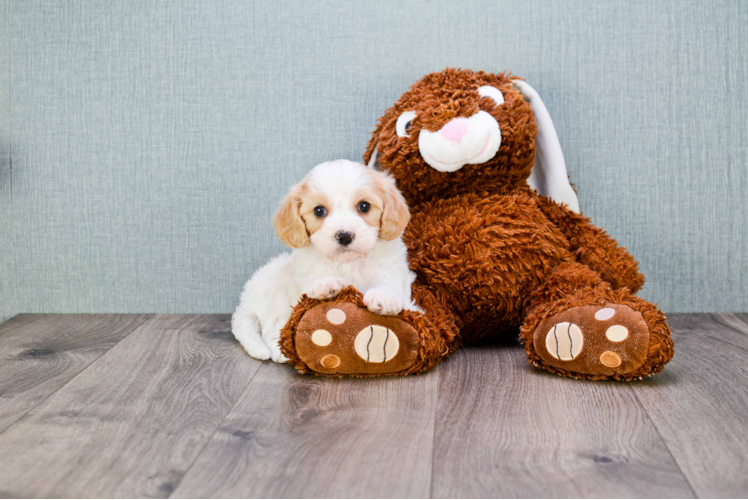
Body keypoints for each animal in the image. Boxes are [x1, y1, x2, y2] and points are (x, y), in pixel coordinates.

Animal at [231, 160, 414, 364]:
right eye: (319, 210)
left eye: (364, 206)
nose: (344, 235)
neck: (347, 263)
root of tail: (245, 301)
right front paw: (326, 284)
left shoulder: (395, 276)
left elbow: (392, 288)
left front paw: (384, 296)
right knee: (273, 326)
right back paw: (281, 351)